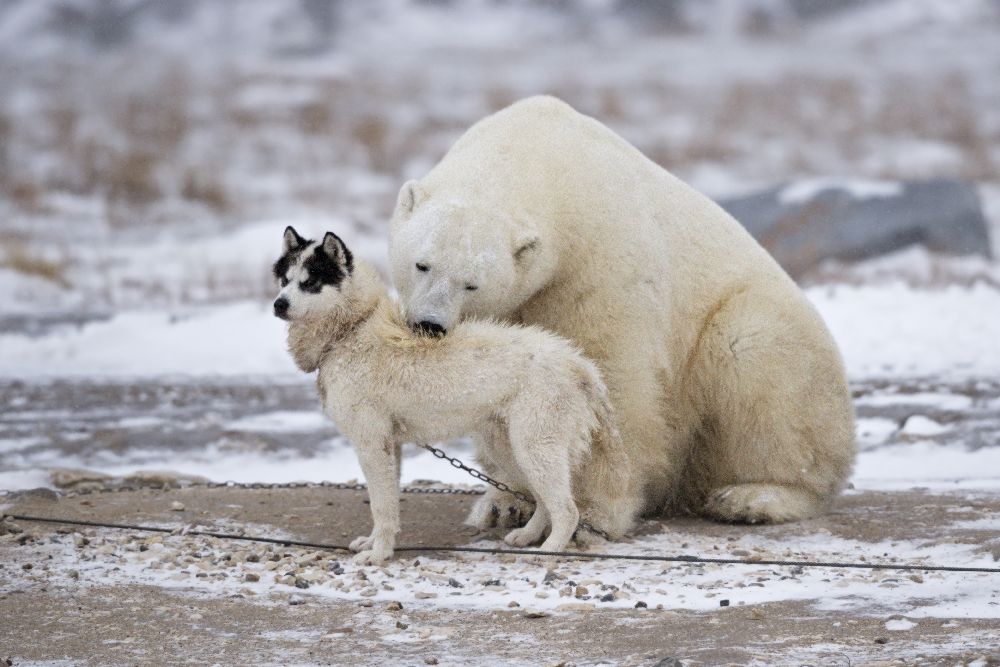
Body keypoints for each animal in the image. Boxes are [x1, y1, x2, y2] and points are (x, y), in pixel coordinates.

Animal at [386, 98, 856, 528]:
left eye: (472, 283)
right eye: (422, 264)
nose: (429, 324)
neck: (537, 152)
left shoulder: (597, 259)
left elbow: (608, 369)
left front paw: (594, 511)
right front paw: (506, 502)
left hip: (765, 333)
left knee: (757, 363)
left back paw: (755, 497)